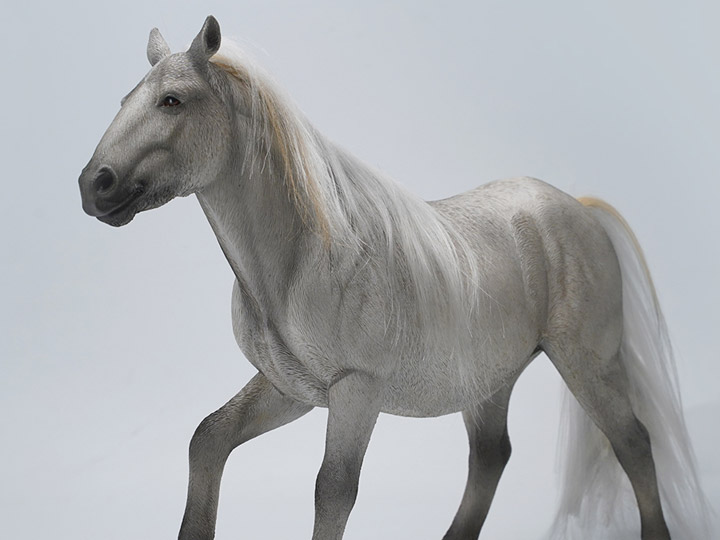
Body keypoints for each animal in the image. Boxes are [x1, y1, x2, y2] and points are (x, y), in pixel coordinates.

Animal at [78, 16, 709, 540]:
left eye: (172, 101)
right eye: (126, 98)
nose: (94, 185)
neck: (300, 262)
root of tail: (578, 209)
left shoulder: (355, 392)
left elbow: (333, 491)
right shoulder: (291, 389)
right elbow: (207, 440)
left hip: (586, 364)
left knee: (632, 442)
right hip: (491, 379)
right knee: (491, 457)